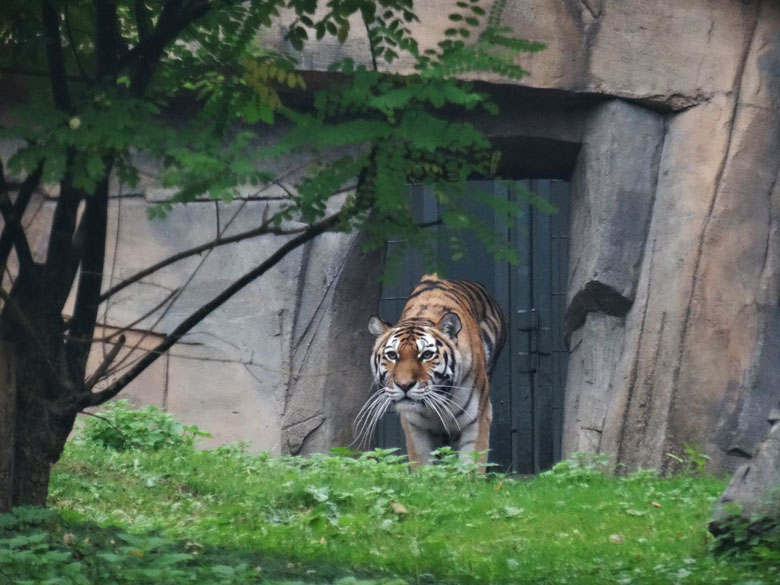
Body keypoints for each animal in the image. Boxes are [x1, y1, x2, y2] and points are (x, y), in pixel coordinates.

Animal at [358, 272, 508, 468]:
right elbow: (422, 463)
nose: (404, 385)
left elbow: (471, 461)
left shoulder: (477, 416)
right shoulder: (414, 425)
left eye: (426, 355)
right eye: (392, 355)